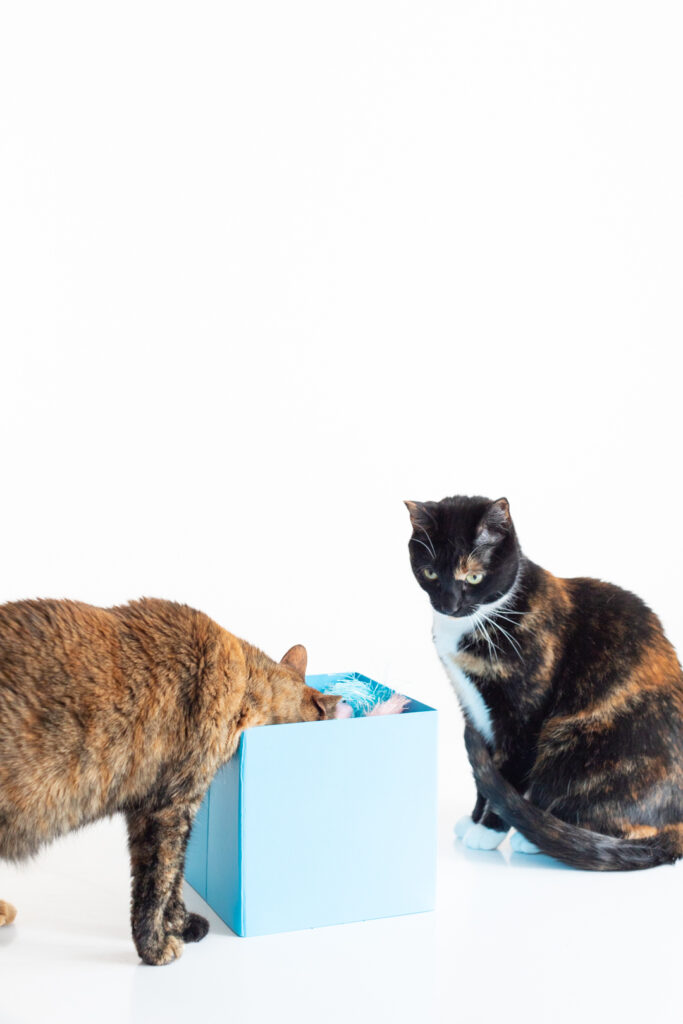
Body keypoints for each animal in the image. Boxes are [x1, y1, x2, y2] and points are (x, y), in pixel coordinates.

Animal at [0, 598, 339, 962]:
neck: (246, 687)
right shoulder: (169, 806)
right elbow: (158, 882)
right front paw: (154, 947)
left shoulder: (159, 809)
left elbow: (173, 879)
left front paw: (181, 924)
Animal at [409, 495, 683, 872]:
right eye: (430, 573)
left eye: (474, 576)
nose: (449, 605)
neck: (492, 614)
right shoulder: (474, 710)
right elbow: (485, 775)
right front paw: (474, 818)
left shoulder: (523, 716)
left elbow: (507, 773)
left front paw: (488, 829)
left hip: (571, 739)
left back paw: (535, 838)